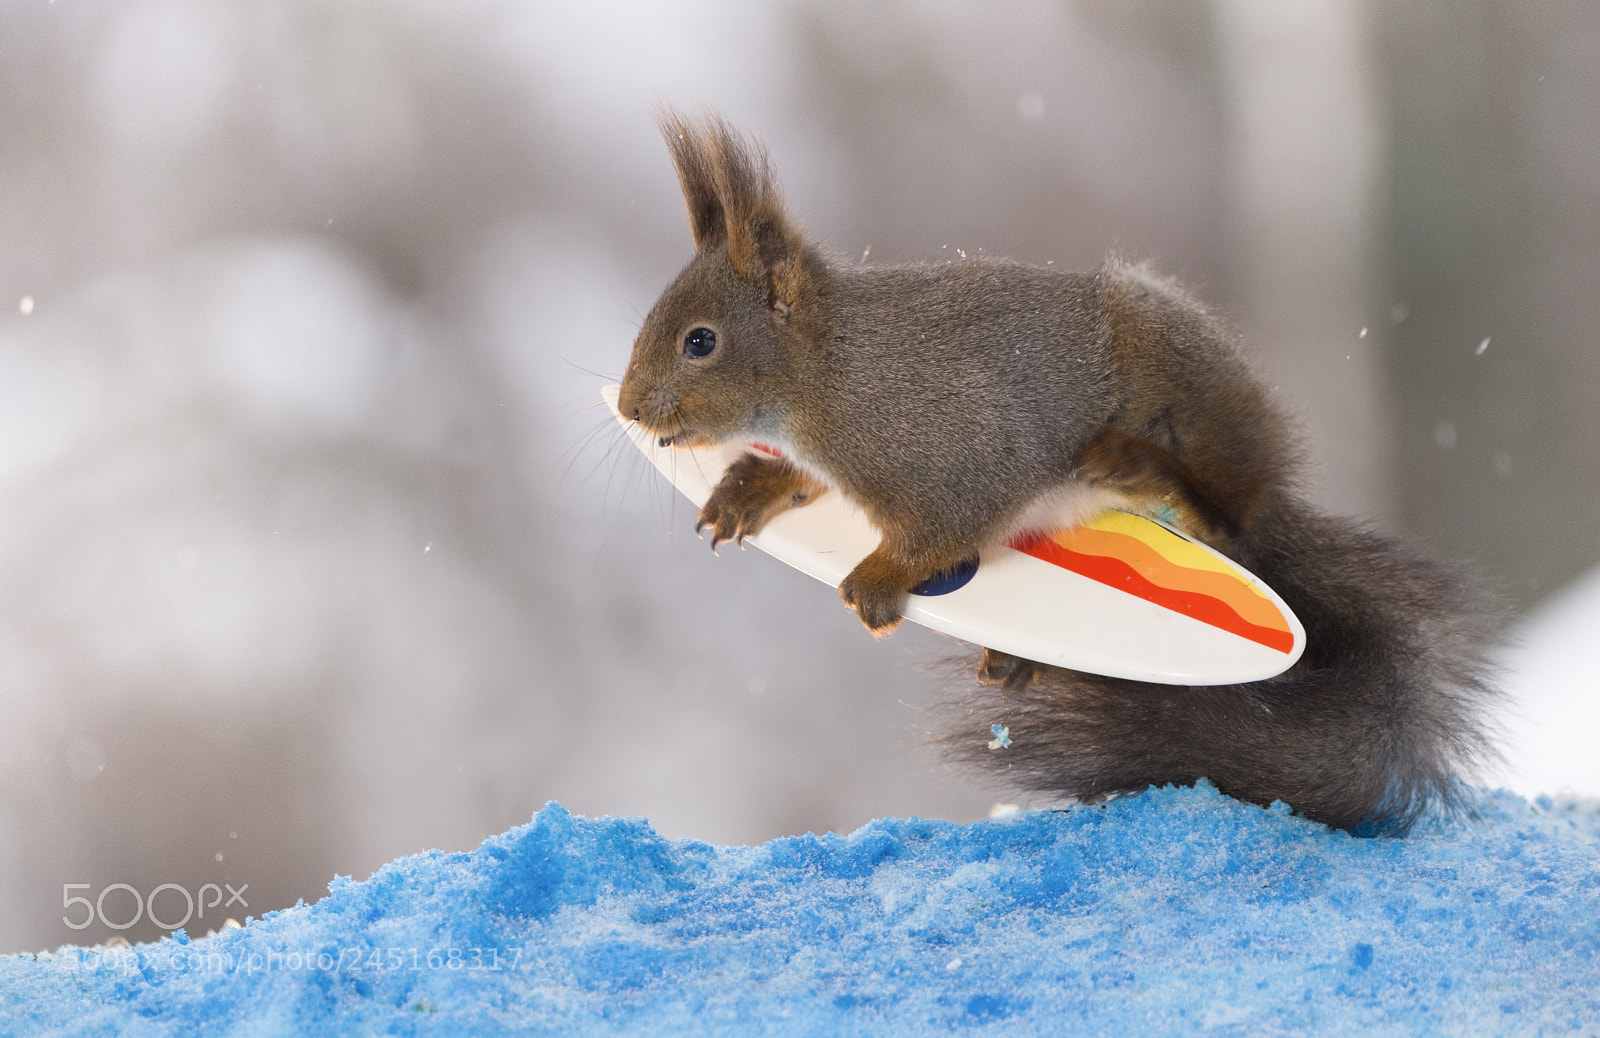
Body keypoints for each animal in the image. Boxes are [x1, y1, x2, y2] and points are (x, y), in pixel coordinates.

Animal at [616, 110, 1502, 835]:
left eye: (701, 341)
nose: (626, 407)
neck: (823, 375)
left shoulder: (955, 447)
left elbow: (947, 523)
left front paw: (878, 576)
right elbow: (810, 484)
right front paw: (748, 489)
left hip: (1178, 374)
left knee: (1230, 506)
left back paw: (1150, 474)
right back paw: (1024, 652)